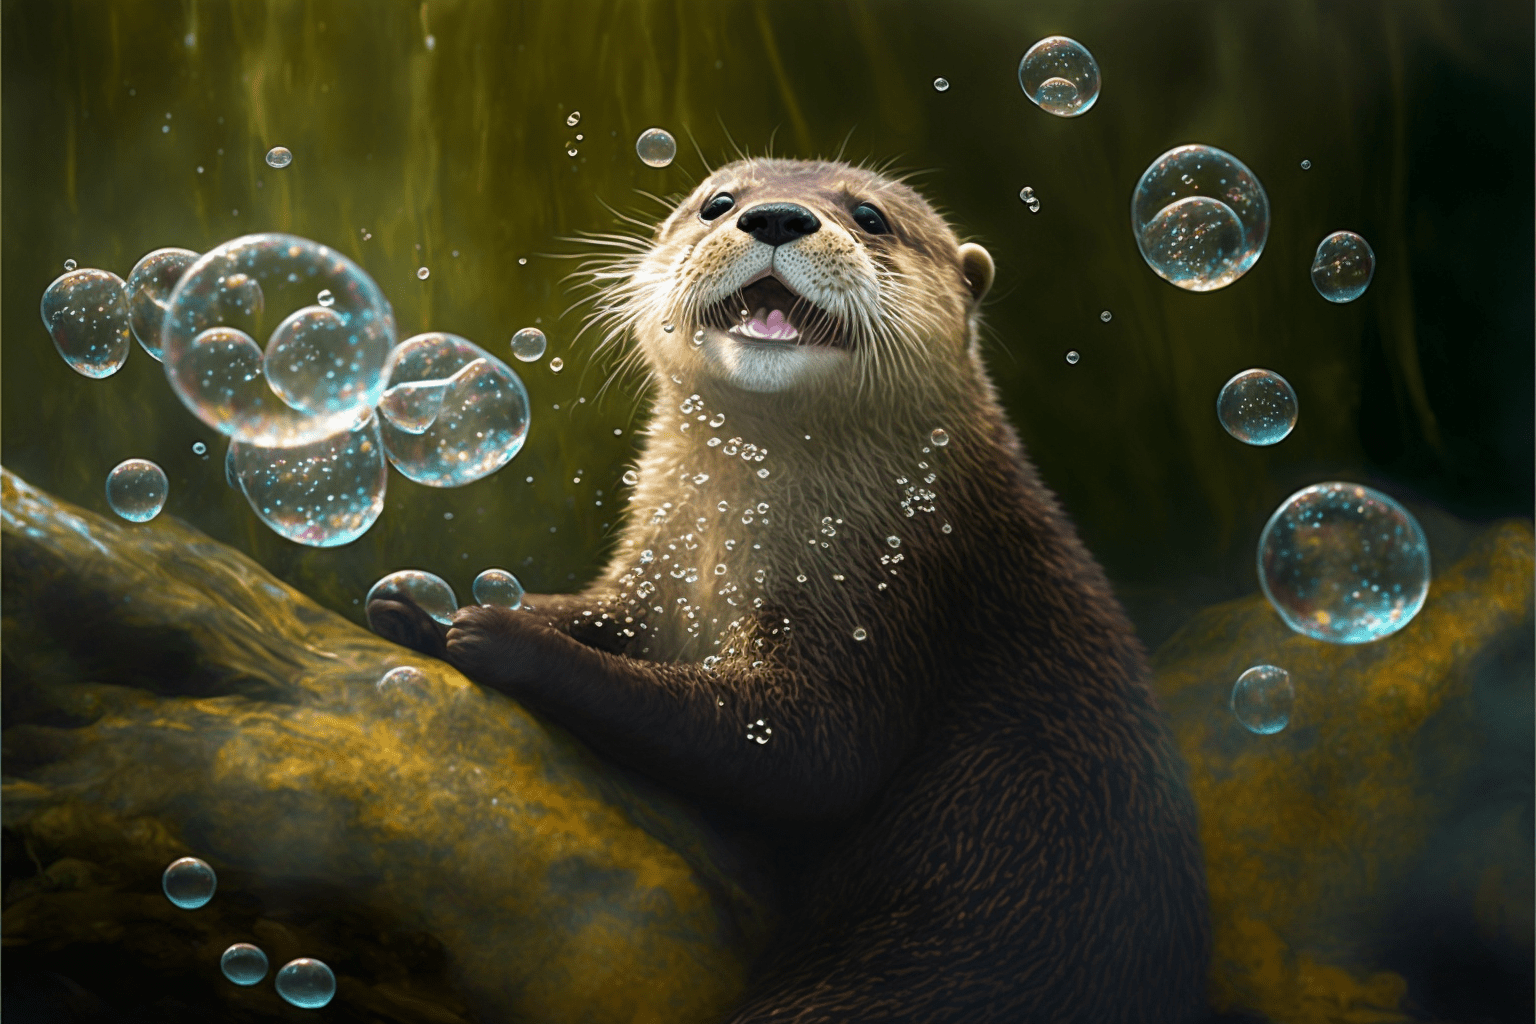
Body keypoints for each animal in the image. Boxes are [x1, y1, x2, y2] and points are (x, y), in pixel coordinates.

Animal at [369, 158, 1211, 1022]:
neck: (733, 543)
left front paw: (507, 639)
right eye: (718, 202)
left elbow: (818, 753)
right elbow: (603, 619)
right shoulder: (653, 580)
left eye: (871, 218)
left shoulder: (884, 602)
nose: (777, 217)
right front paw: (422, 604)